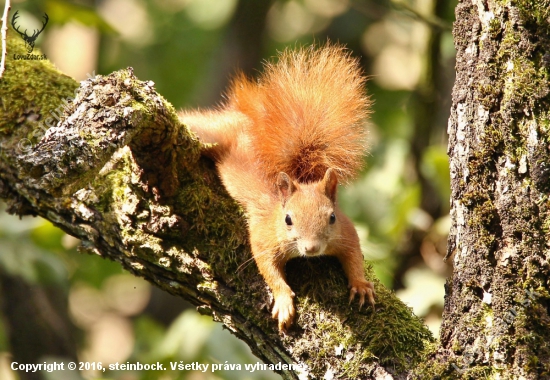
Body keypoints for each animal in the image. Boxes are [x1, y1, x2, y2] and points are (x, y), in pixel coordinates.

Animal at [179, 43, 378, 332]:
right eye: (287, 219)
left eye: (331, 217)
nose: (311, 249)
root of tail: (247, 121)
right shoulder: (264, 236)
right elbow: (268, 269)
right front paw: (284, 301)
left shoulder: (345, 230)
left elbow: (354, 255)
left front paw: (361, 284)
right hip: (215, 134)